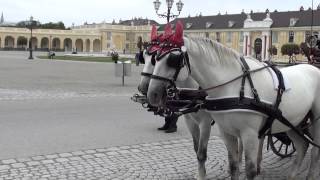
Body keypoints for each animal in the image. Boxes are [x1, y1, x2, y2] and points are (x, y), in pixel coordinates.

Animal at [147, 21, 320, 180]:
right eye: (154, 58)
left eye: (173, 59)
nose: (151, 94)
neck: (231, 85)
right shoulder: (225, 132)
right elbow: (233, 165)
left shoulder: (247, 134)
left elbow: (249, 170)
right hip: (294, 122)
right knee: (303, 145)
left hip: (314, 121)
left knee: (315, 151)